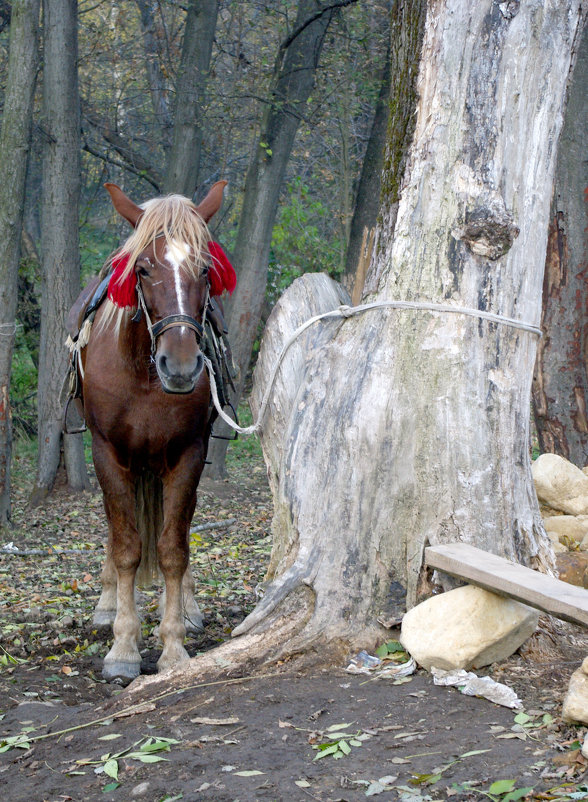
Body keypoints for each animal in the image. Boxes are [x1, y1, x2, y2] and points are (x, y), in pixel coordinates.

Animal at [76, 181, 234, 680]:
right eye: (143, 269)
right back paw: (108, 603)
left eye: (204, 269)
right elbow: (127, 545)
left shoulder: (187, 455)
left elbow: (172, 548)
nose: (180, 365)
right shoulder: (108, 455)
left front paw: (174, 645)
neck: (143, 375)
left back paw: (186, 606)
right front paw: (123, 647)